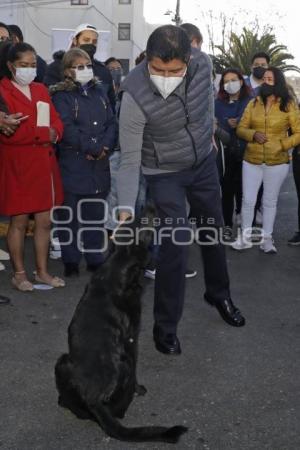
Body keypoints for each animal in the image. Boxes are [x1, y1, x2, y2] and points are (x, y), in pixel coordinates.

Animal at [54, 210, 188, 442]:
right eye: (142, 223)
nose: (151, 206)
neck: (117, 267)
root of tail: (93, 398)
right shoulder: (131, 337)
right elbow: (136, 371)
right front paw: (139, 389)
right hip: (123, 366)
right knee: (121, 409)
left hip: (61, 360)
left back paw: (63, 401)